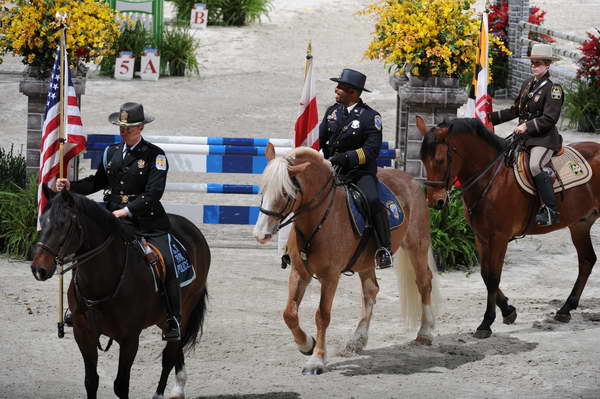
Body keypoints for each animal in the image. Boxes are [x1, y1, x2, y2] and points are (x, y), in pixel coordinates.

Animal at [29, 188, 211, 399]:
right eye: (42, 222)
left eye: (62, 224)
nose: (38, 269)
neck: (102, 281)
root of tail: (192, 229)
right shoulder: (83, 333)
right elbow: (91, 381)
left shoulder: (129, 339)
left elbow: (121, 385)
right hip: (164, 317)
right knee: (175, 347)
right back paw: (178, 387)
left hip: (184, 311)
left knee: (169, 354)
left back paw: (162, 393)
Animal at [252, 144, 440, 376]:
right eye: (262, 190)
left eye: (285, 193)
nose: (260, 234)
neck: (319, 219)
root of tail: (411, 180)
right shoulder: (299, 272)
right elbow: (289, 314)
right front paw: (306, 344)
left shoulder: (330, 277)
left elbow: (322, 316)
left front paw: (317, 360)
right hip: (367, 260)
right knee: (371, 290)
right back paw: (356, 341)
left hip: (416, 245)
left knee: (424, 282)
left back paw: (425, 332)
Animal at [418, 117, 600, 340]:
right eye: (423, 160)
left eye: (440, 160)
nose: (436, 202)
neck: (491, 178)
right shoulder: (481, 237)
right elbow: (485, 274)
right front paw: (508, 310)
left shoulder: (499, 237)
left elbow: (493, 277)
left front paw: (486, 323)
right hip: (580, 224)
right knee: (587, 260)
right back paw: (566, 309)